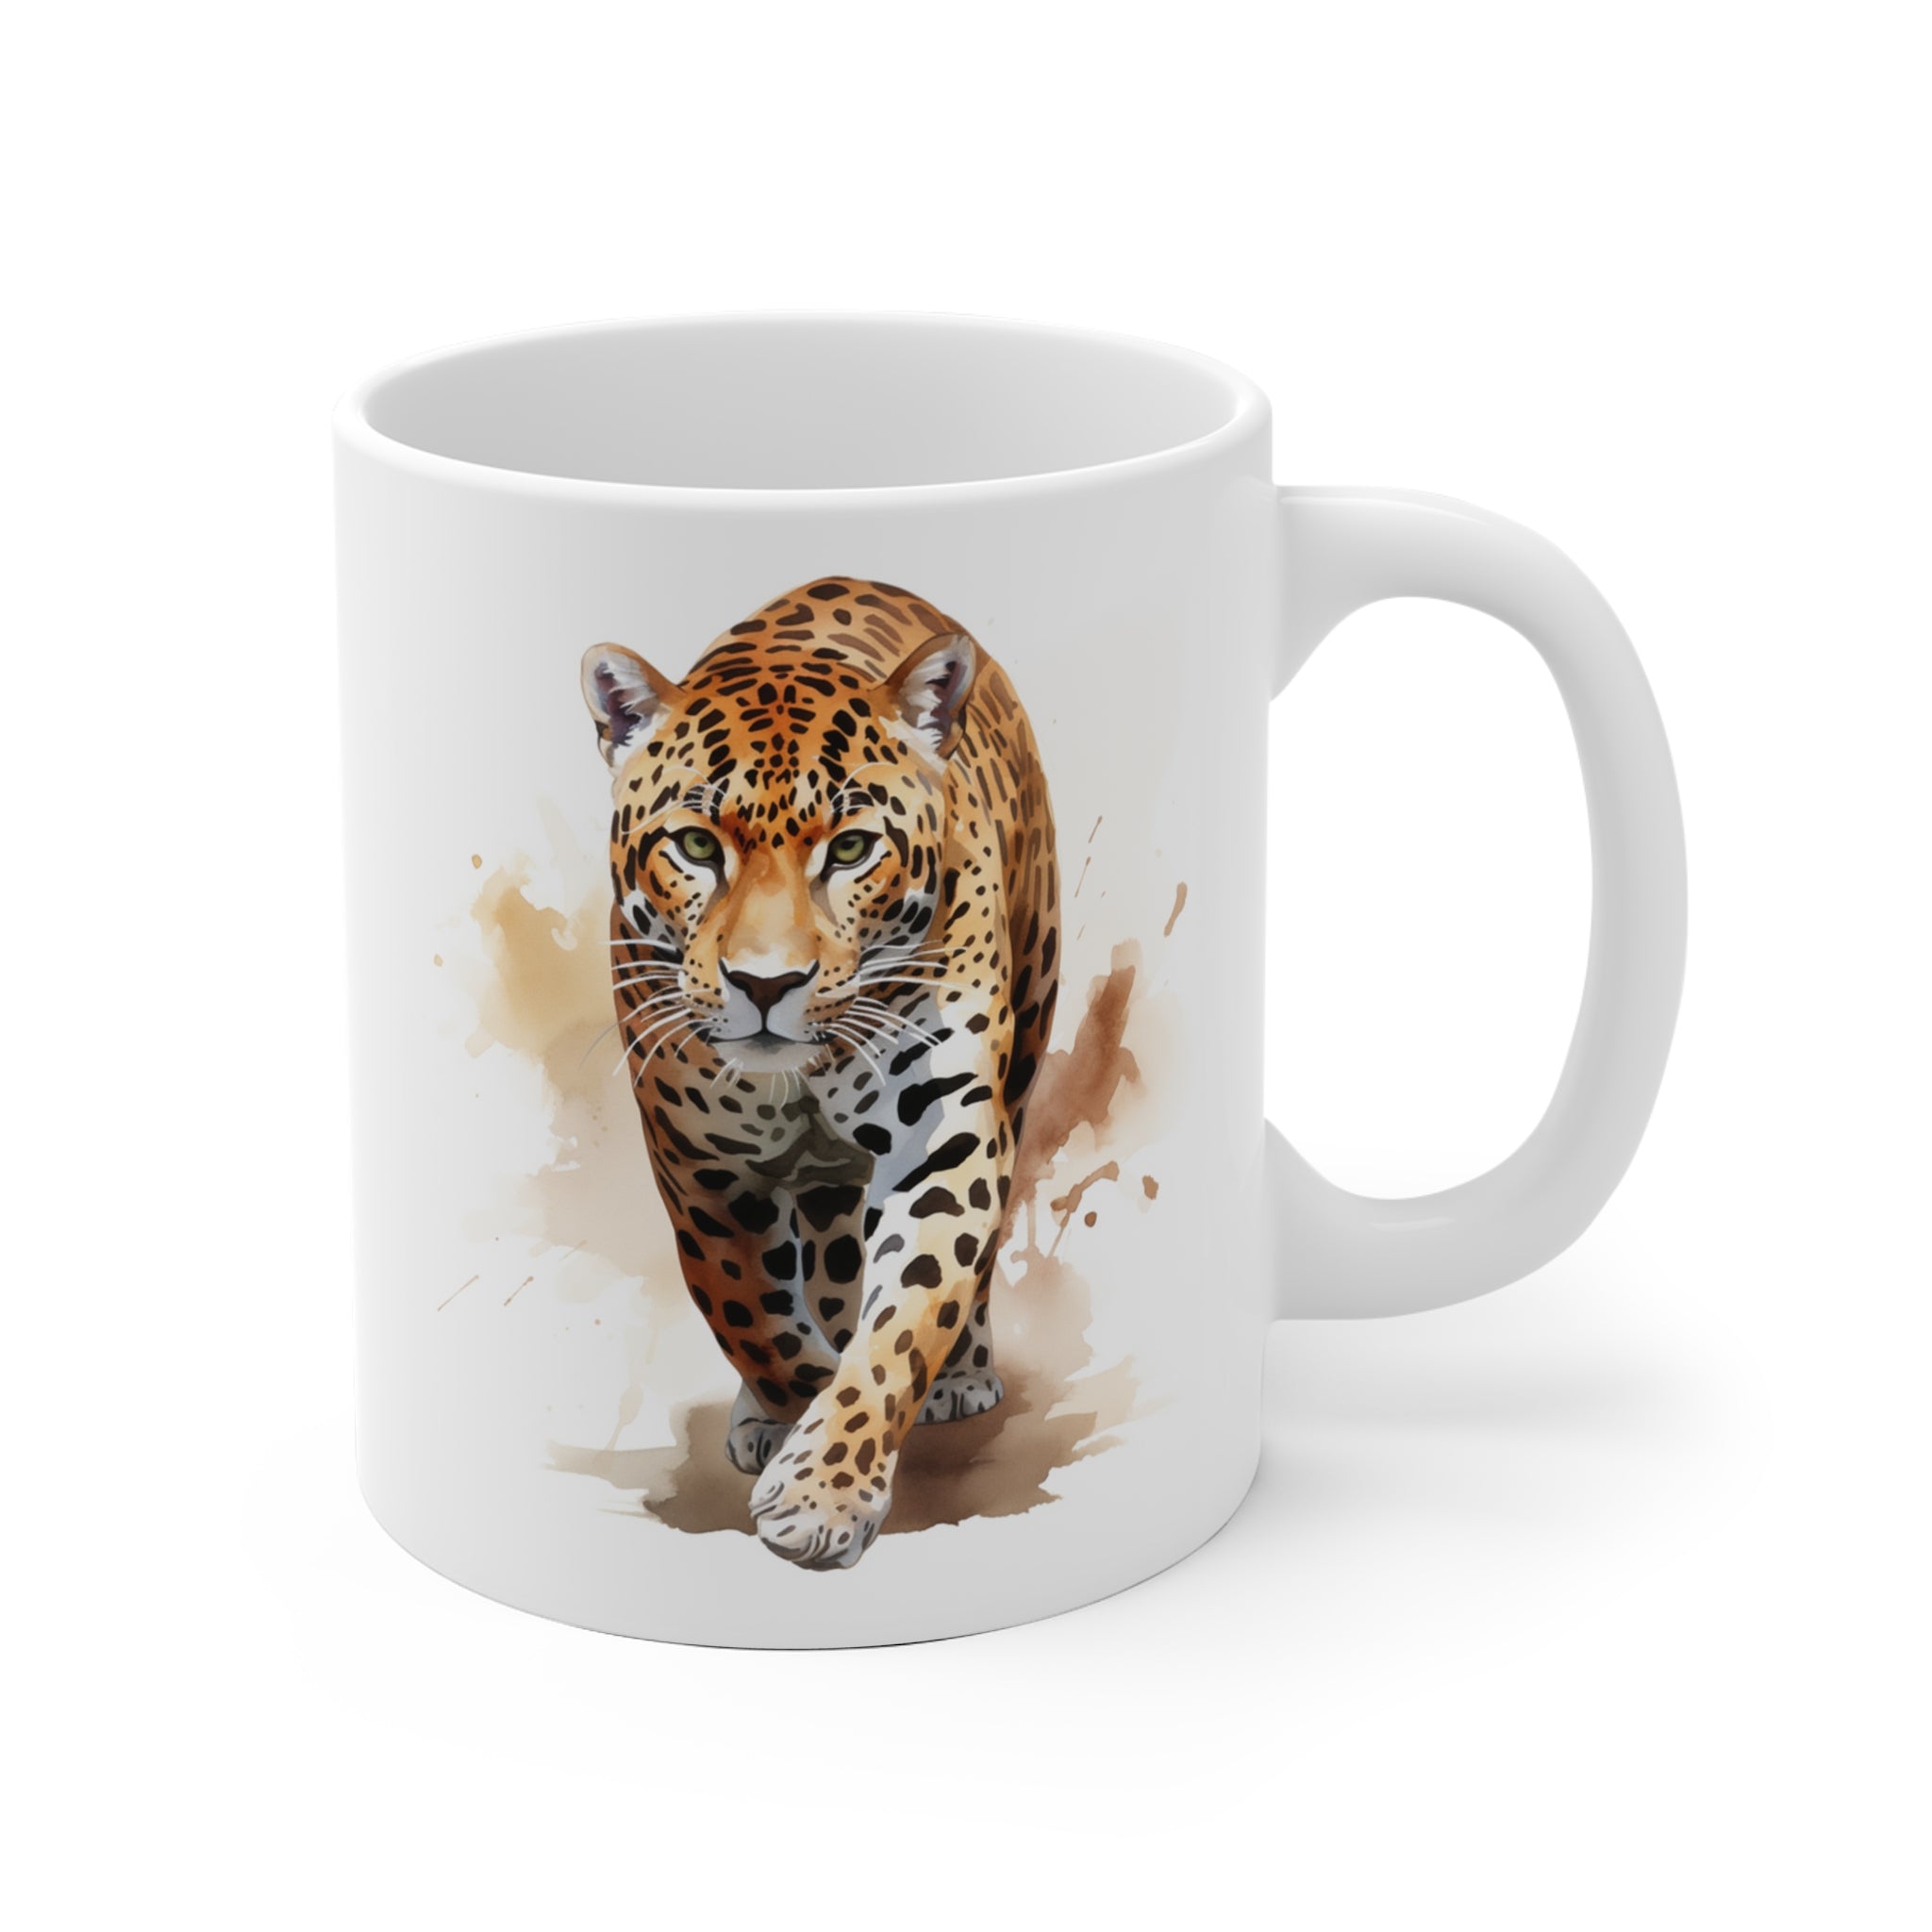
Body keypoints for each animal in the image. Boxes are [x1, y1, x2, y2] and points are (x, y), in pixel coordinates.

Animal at [579, 578, 1059, 1570]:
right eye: (695, 846)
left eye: (849, 849)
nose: (767, 984)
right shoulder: (703, 1172)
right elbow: (752, 1316)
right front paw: (791, 1414)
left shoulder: (943, 1140)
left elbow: (905, 1319)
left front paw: (822, 1493)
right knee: (825, 1264)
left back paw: (962, 1375)